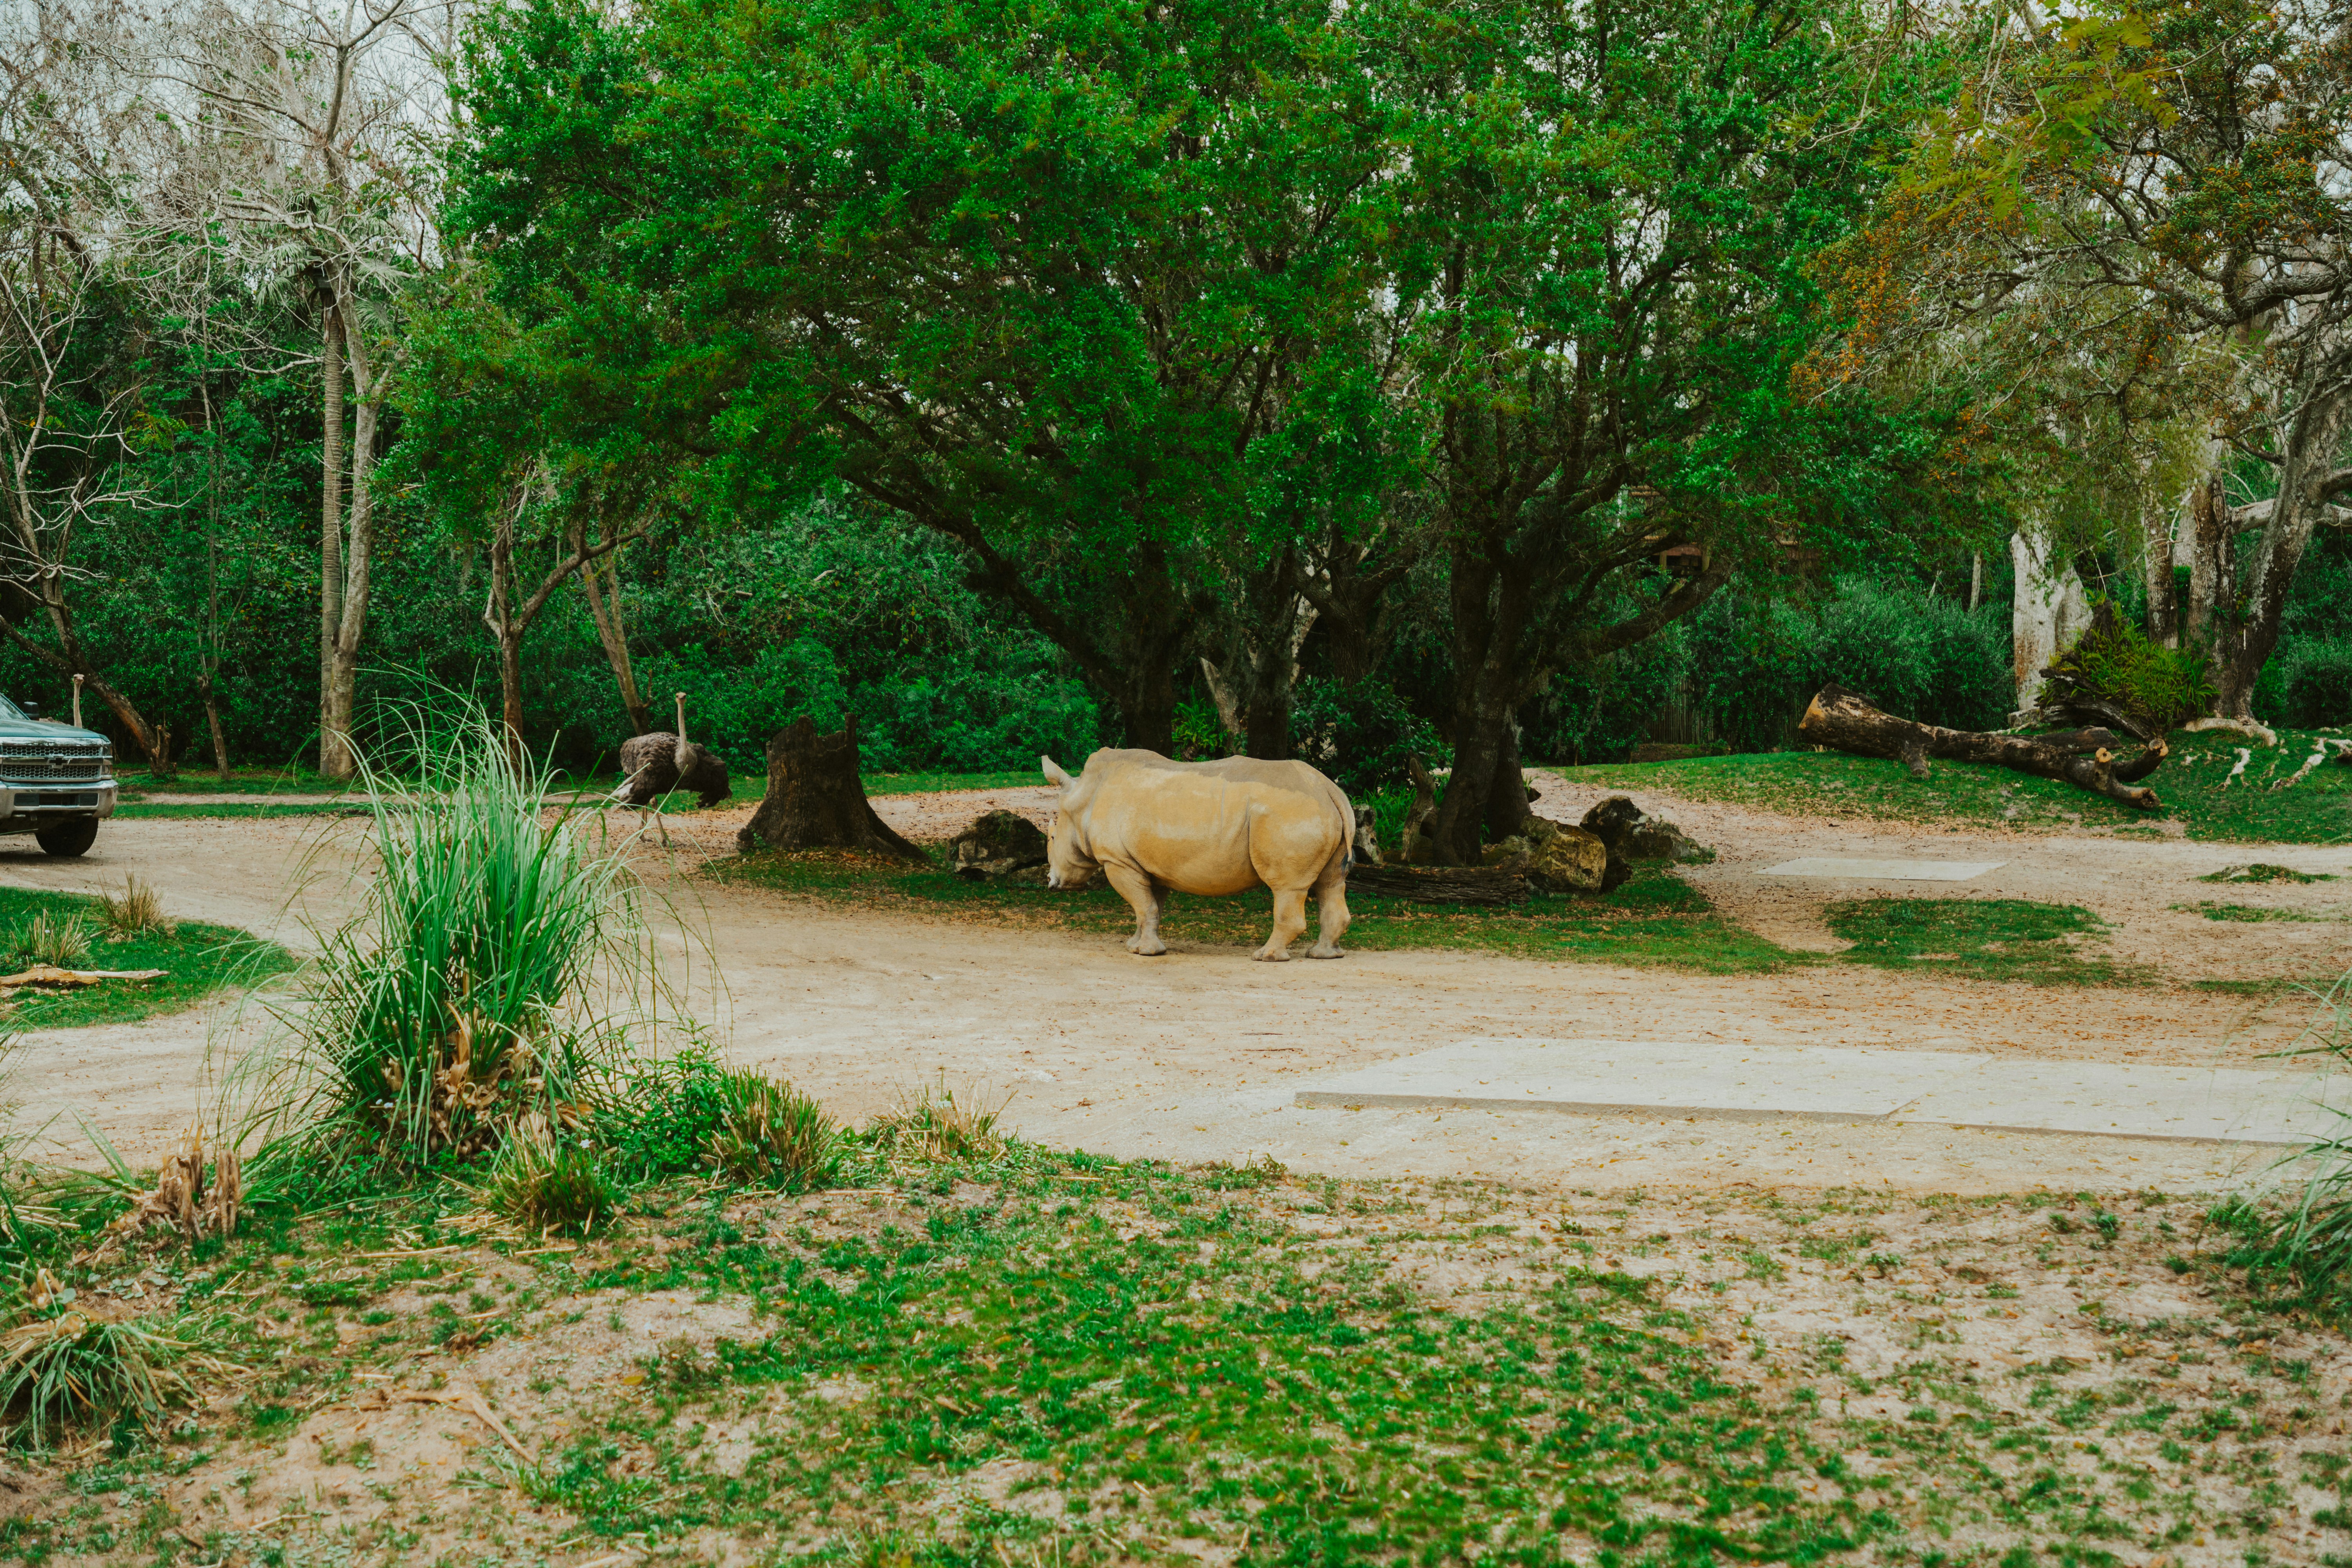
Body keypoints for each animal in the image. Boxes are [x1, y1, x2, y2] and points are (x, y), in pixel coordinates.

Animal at [1041, 749, 1355, 961]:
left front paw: (1146, 953)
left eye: (1054, 837)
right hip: (1319, 810)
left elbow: (1143, 905)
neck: (1082, 799)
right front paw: (1136, 947)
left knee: (1287, 888)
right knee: (1331, 884)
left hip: (1290, 814)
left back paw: (1265, 956)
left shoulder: (1117, 860)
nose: (1050, 881)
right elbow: (1149, 907)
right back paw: (1323, 955)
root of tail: (1329, 789)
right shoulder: (1149, 863)